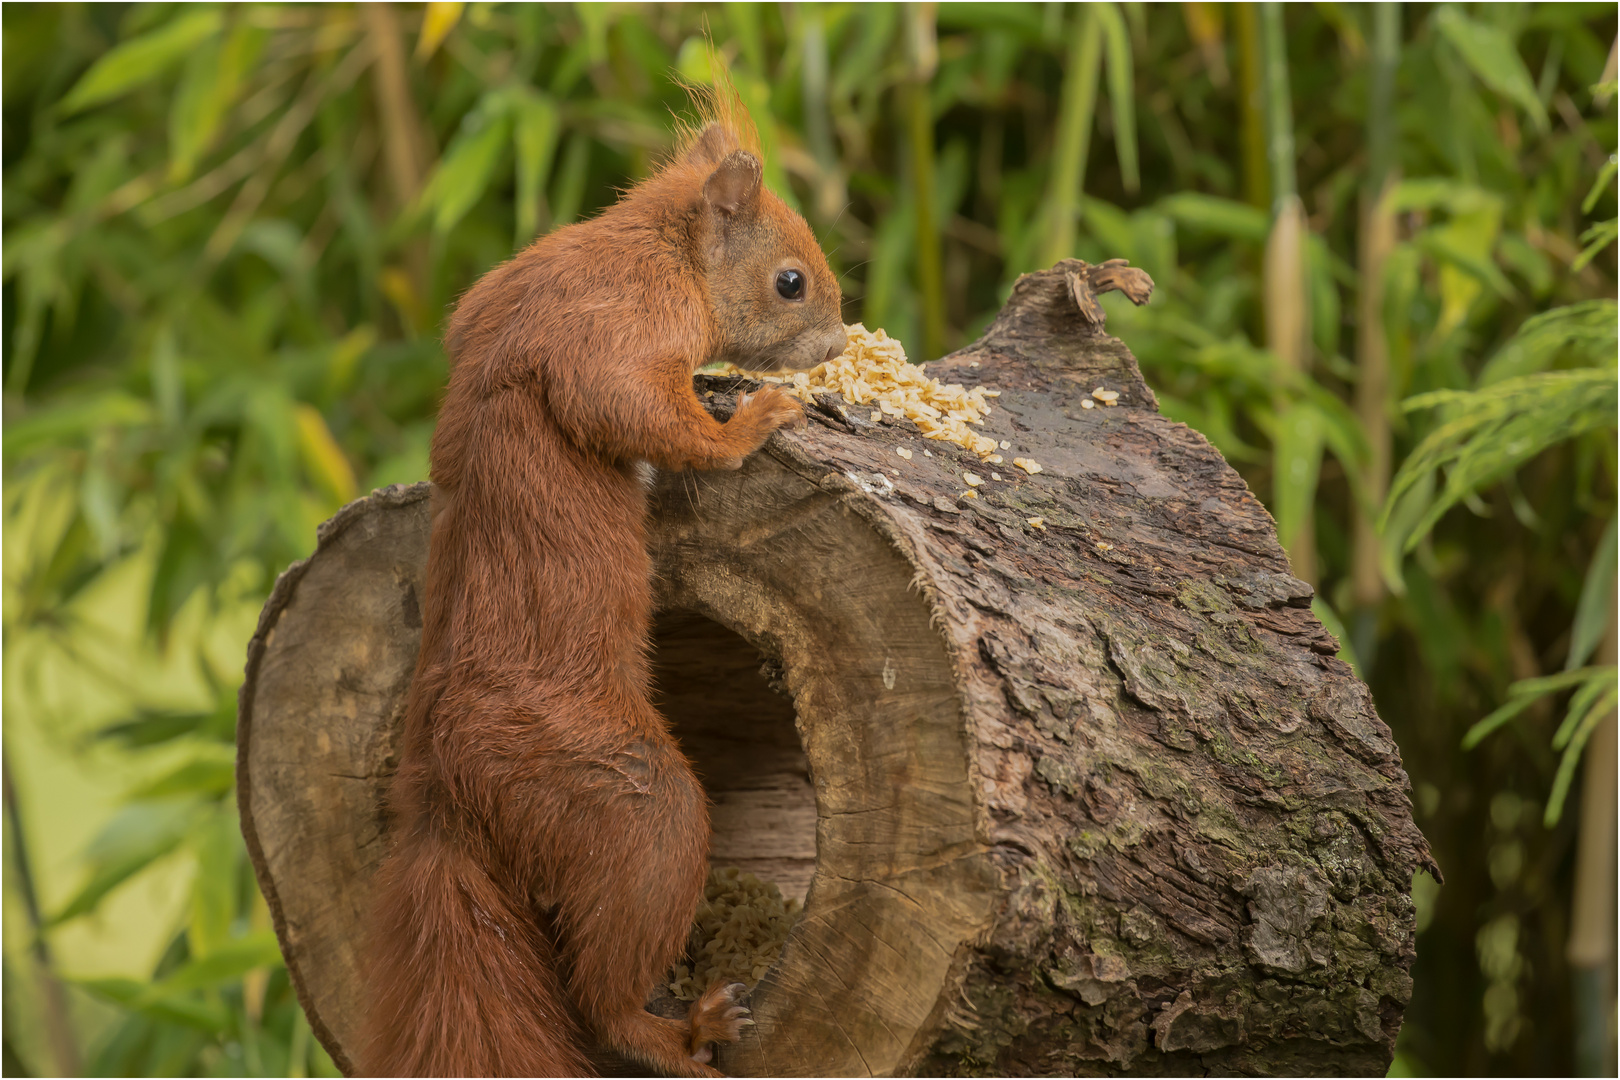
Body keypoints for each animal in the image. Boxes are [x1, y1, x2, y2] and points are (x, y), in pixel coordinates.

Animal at [356, 95, 848, 1080]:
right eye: (790, 282)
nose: (841, 342)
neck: (657, 247)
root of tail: (449, 804)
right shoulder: (614, 331)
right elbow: (643, 413)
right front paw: (755, 420)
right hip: (632, 806)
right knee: (603, 998)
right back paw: (684, 1031)